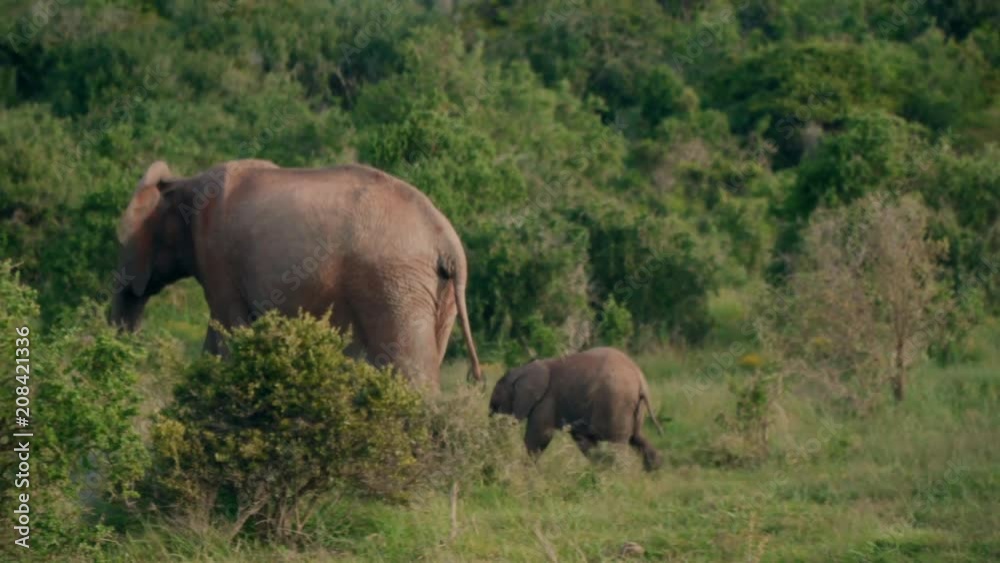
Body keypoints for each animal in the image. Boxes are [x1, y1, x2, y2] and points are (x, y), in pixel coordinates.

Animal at [109, 159, 482, 388]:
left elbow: (228, 329)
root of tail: (447, 240)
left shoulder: (216, 254)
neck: (183, 182)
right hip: (436, 293)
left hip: (395, 283)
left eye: (121, 240)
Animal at [489, 347, 665, 470]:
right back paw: (653, 471)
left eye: (496, 404)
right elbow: (582, 440)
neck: (524, 369)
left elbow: (540, 436)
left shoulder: (546, 400)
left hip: (617, 402)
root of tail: (640, 381)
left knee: (618, 447)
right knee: (638, 438)